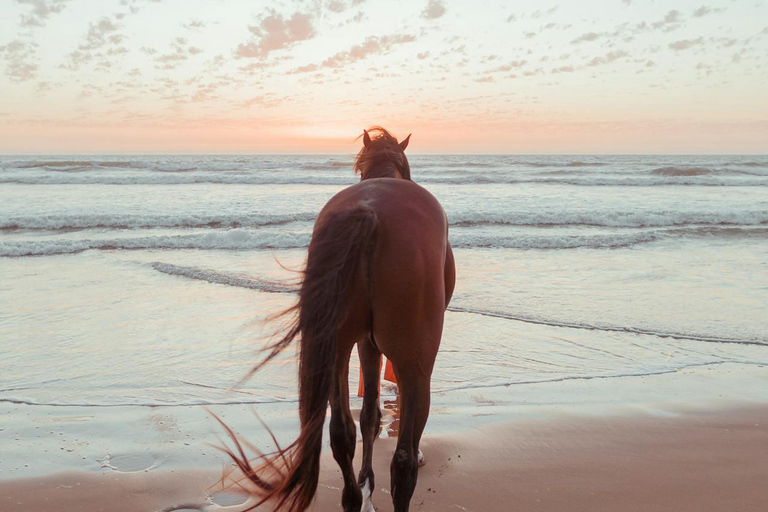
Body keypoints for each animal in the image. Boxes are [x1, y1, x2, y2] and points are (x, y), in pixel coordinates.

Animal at [222, 127, 455, 512]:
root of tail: (370, 213)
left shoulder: (364, 342)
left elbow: (369, 417)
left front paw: (366, 485)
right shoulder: (387, 351)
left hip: (335, 347)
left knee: (341, 435)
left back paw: (353, 496)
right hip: (414, 362)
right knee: (403, 458)